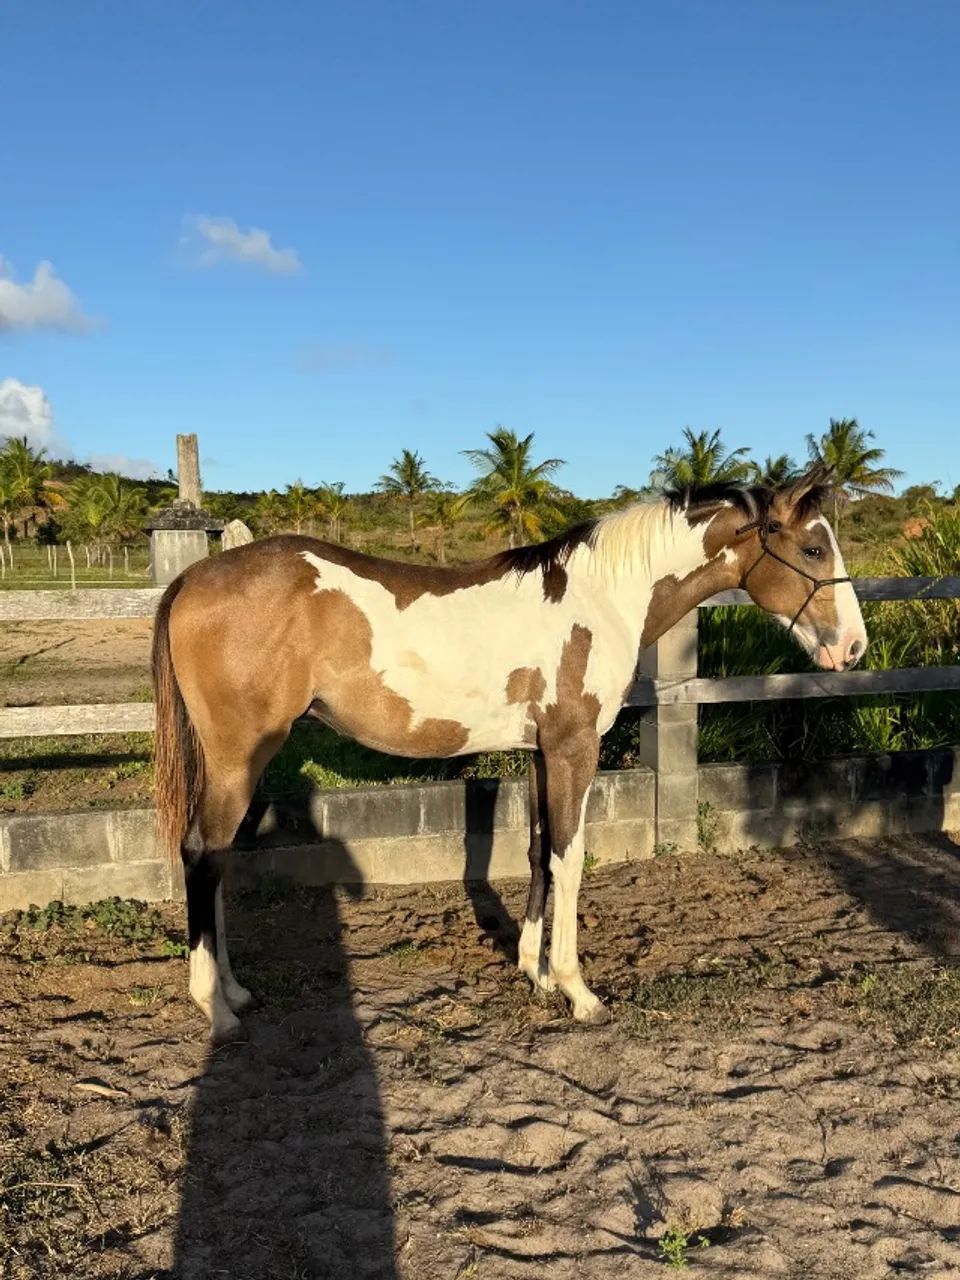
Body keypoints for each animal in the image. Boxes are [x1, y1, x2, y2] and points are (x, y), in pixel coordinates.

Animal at [151, 465, 867, 1042]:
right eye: (811, 547)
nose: (854, 647)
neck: (601, 600)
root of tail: (194, 576)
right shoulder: (576, 748)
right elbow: (570, 859)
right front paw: (578, 990)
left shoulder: (542, 752)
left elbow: (537, 851)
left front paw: (535, 971)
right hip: (240, 758)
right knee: (201, 853)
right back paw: (215, 1007)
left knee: (215, 858)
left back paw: (236, 990)